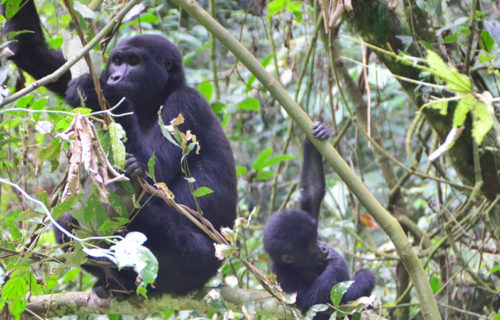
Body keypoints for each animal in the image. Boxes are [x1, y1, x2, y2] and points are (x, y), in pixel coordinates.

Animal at [1, 0, 237, 298]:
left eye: (133, 62)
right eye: (116, 60)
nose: (114, 76)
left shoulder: (186, 104)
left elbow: (155, 173)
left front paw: (108, 96)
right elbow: (32, 52)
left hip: (200, 264)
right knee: (69, 222)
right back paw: (114, 282)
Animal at [264, 122, 374, 318]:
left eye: (316, 237)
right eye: (309, 246)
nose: (323, 247)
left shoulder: (307, 217)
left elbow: (312, 192)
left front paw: (315, 136)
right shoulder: (281, 277)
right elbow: (310, 305)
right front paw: (338, 264)